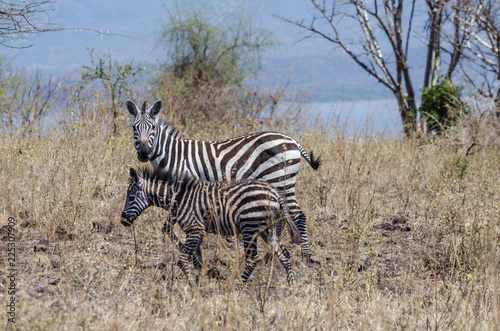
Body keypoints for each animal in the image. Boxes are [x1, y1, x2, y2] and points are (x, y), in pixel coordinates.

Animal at [121, 167, 300, 286]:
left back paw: (237, 286)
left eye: (131, 197)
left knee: (252, 259)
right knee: (284, 254)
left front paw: (193, 287)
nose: (123, 220)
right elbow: (198, 262)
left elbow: (183, 260)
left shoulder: (194, 228)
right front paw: (199, 284)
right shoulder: (197, 232)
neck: (179, 198)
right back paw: (291, 286)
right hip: (267, 230)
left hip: (250, 228)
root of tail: (275, 193)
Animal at [125, 100, 320, 260]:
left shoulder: (184, 191)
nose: (143, 153)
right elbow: (168, 227)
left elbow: (169, 226)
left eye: (153, 128)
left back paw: (305, 257)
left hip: (281, 181)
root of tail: (292, 140)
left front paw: (193, 254)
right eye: (134, 128)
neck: (174, 156)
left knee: (299, 215)